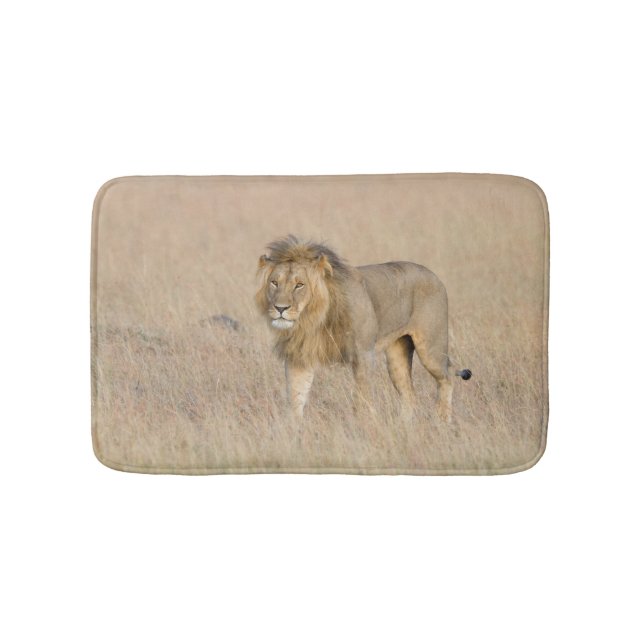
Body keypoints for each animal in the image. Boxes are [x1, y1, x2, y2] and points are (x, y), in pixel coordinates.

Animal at [255, 235, 470, 421]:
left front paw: (364, 425)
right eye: (274, 283)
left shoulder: (364, 354)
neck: (313, 319)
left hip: (431, 349)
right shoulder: (299, 357)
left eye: (299, 285)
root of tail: (433, 275)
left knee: (447, 377)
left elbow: (362, 397)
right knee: (410, 395)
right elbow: (295, 398)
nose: (280, 308)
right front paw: (294, 430)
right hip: (397, 356)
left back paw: (442, 420)